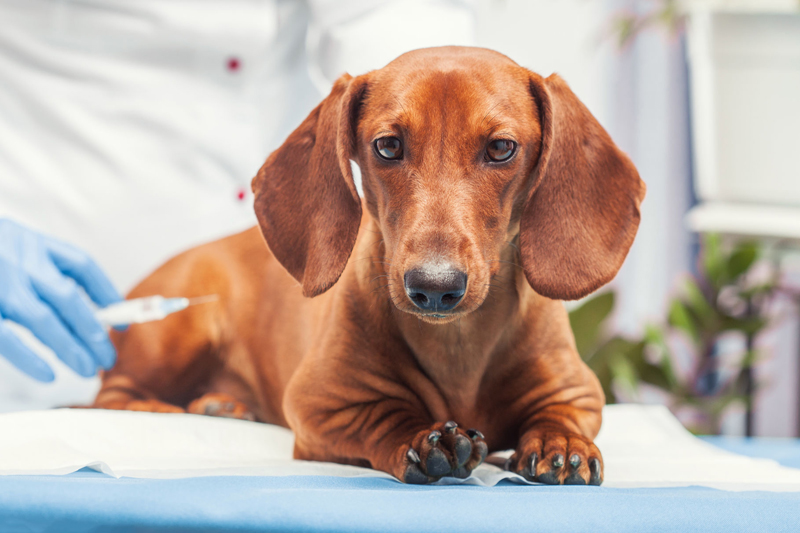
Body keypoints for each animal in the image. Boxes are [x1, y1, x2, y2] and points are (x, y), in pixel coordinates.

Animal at [92, 47, 644, 484]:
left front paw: (560, 444)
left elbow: (560, 415)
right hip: (183, 325)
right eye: (388, 145)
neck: (457, 344)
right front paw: (424, 440)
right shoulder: (316, 405)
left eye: (502, 148)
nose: (434, 286)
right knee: (106, 396)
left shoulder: (578, 391)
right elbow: (382, 417)